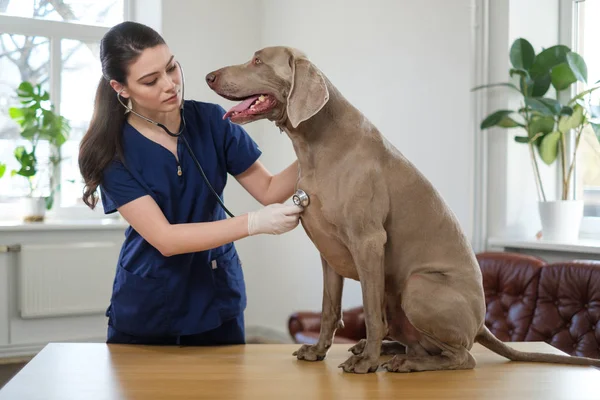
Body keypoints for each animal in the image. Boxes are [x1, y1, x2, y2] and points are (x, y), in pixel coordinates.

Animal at [205, 48, 600, 374]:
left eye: (257, 60)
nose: (208, 76)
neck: (316, 143)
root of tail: (482, 323)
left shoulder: (368, 242)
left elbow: (369, 311)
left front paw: (365, 364)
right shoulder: (328, 253)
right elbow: (330, 309)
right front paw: (319, 351)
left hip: (416, 286)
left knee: (462, 356)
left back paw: (399, 361)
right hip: (397, 296)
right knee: (420, 342)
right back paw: (388, 351)